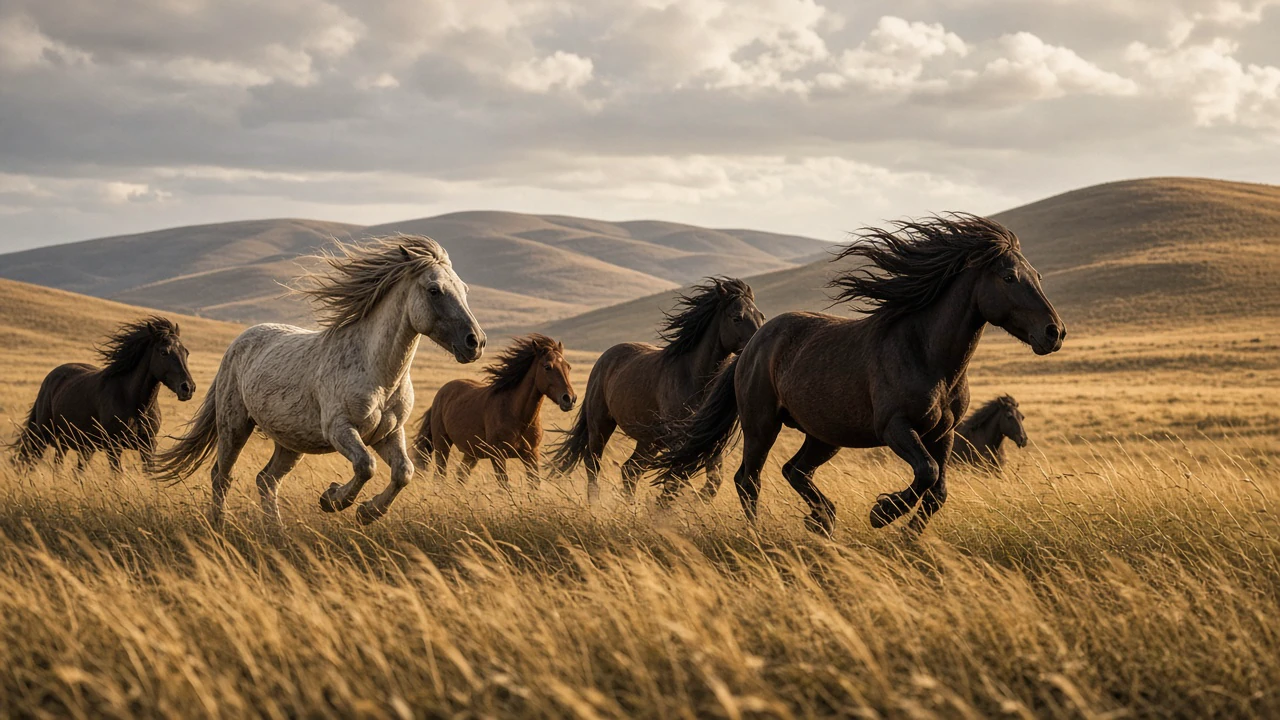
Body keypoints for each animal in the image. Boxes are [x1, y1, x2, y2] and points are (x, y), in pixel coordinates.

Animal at [13, 316, 195, 473]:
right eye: (164, 352)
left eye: (186, 352)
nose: (188, 388)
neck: (135, 403)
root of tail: (50, 378)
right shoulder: (113, 446)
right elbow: (117, 476)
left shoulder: (148, 445)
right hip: (43, 435)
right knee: (34, 462)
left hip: (77, 445)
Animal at [154, 235, 485, 526]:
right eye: (434, 290)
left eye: (464, 289)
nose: (476, 342)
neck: (379, 375)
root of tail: (238, 342)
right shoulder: (340, 428)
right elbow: (366, 466)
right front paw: (334, 500)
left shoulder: (388, 433)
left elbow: (404, 472)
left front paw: (367, 512)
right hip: (234, 425)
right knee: (221, 476)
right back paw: (220, 526)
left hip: (290, 442)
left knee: (266, 480)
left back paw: (276, 531)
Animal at [412, 334, 576, 489]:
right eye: (547, 367)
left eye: (568, 367)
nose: (569, 399)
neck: (517, 415)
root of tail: (441, 393)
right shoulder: (498, 456)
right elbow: (504, 486)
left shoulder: (531, 455)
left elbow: (534, 484)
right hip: (442, 445)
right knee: (440, 475)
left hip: (472, 454)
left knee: (460, 476)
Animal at [550, 277, 764, 503]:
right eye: (737, 318)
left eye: (761, 316)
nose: (754, 347)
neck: (693, 376)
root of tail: (604, 358)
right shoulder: (679, 439)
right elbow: (676, 477)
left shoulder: (708, 437)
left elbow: (712, 480)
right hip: (600, 425)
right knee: (593, 464)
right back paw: (596, 505)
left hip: (649, 441)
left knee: (630, 470)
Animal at [652, 214, 1064, 535]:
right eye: (1009, 277)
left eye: (1037, 275)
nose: (1054, 332)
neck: (926, 355)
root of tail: (751, 346)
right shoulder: (895, 427)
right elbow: (927, 473)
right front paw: (882, 513)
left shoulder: (943, 434)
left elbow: (937, 491)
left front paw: (908, 535)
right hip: (762, 426)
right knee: (748, 480)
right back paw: (761, 533)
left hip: (824, 435)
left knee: (794, 471)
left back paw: (822, 520)